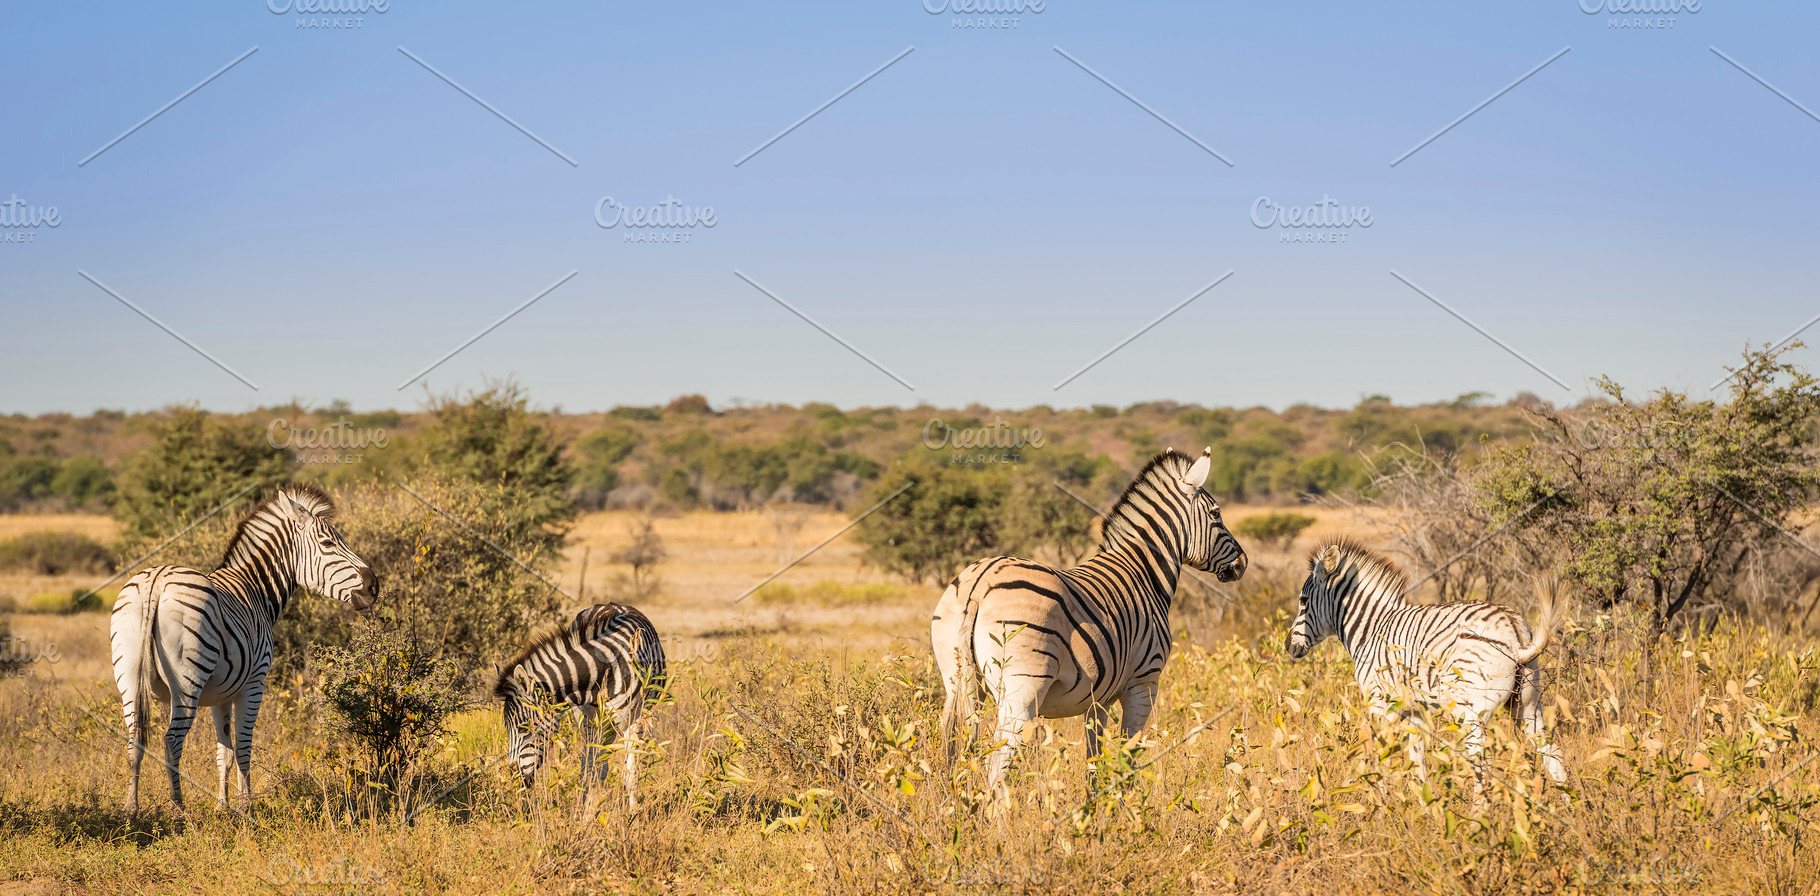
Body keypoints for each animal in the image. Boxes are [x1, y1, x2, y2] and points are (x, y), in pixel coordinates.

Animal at [110, 484, 378, 814]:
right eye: (328, 543)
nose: (373, 586)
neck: (255, 589)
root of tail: (156, 582)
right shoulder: (254, 682)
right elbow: (243, 748)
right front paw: (245, 807)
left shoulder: (221, 694)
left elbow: (223, 753)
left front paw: (222, 807)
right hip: (187, 679)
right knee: (171, 741)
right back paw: (178, 810)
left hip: (128, 675)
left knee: (135, 739)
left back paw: (131, 809)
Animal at [492, 602, 667, 809]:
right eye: (507, 728)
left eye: (523, 728)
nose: (515, 780)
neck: (603, 671)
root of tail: (613, 604)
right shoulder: (591, 723)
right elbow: (591, 771)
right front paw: (587, 813)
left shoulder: (634, 721)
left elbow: (630, 773)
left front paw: (633, 815)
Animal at [932, 448, 1248, 797]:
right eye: (1216, 514)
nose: (1242, 564)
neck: (1144, 573)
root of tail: (980, 582)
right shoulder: (1144, 683)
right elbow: (1128, 756)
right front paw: (1126, 808)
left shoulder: (1099, 699)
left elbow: (1094, 762)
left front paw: (1095, 808)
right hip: (1022, 690)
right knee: (997, 765)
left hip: (958, 683)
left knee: (958, 752)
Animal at [1284, 539, 1567, 789]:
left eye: (1303, 601)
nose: (1287, 646)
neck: (1371, 629)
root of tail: (1514, 631)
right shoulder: (1415, 712)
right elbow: (1417, 764)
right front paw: (1424, 807)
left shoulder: (1379, 703)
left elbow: (1379, 757)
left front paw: (1381, 804)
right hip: (1527, 705)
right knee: (1553, 756)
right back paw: (1569, 805)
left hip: (1472, 712)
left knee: (1483, 768)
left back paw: (1477, 817)